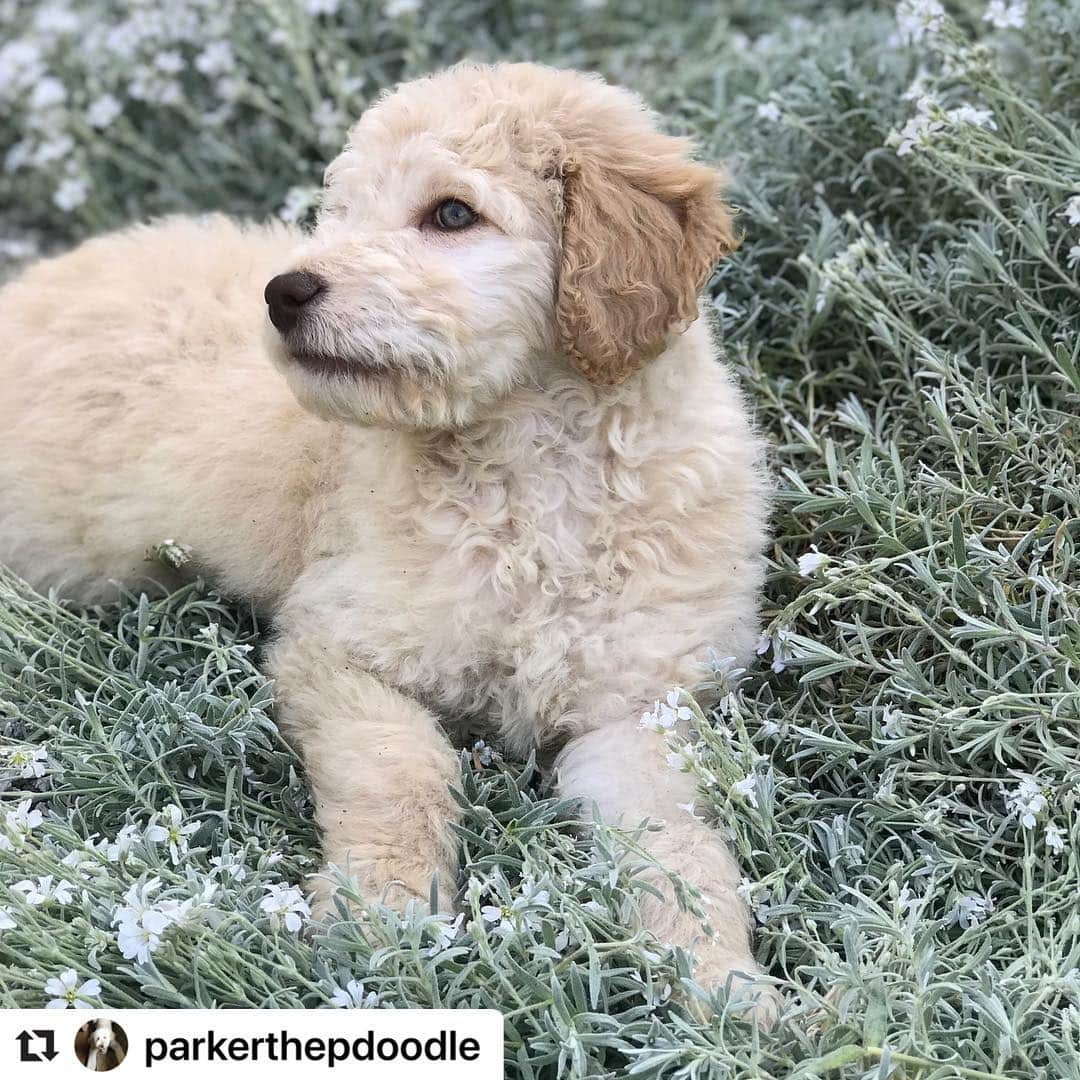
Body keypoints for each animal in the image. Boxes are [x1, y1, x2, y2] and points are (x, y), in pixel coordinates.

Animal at [0, 63, 777, 1010]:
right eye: (340, 212)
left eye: (450, 213)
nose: (283, 293)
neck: (531, 476)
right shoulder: (335, 647)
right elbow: (401, 769)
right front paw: (386, 915)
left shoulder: (641, 704)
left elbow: (676, 844)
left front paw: (723, 983)